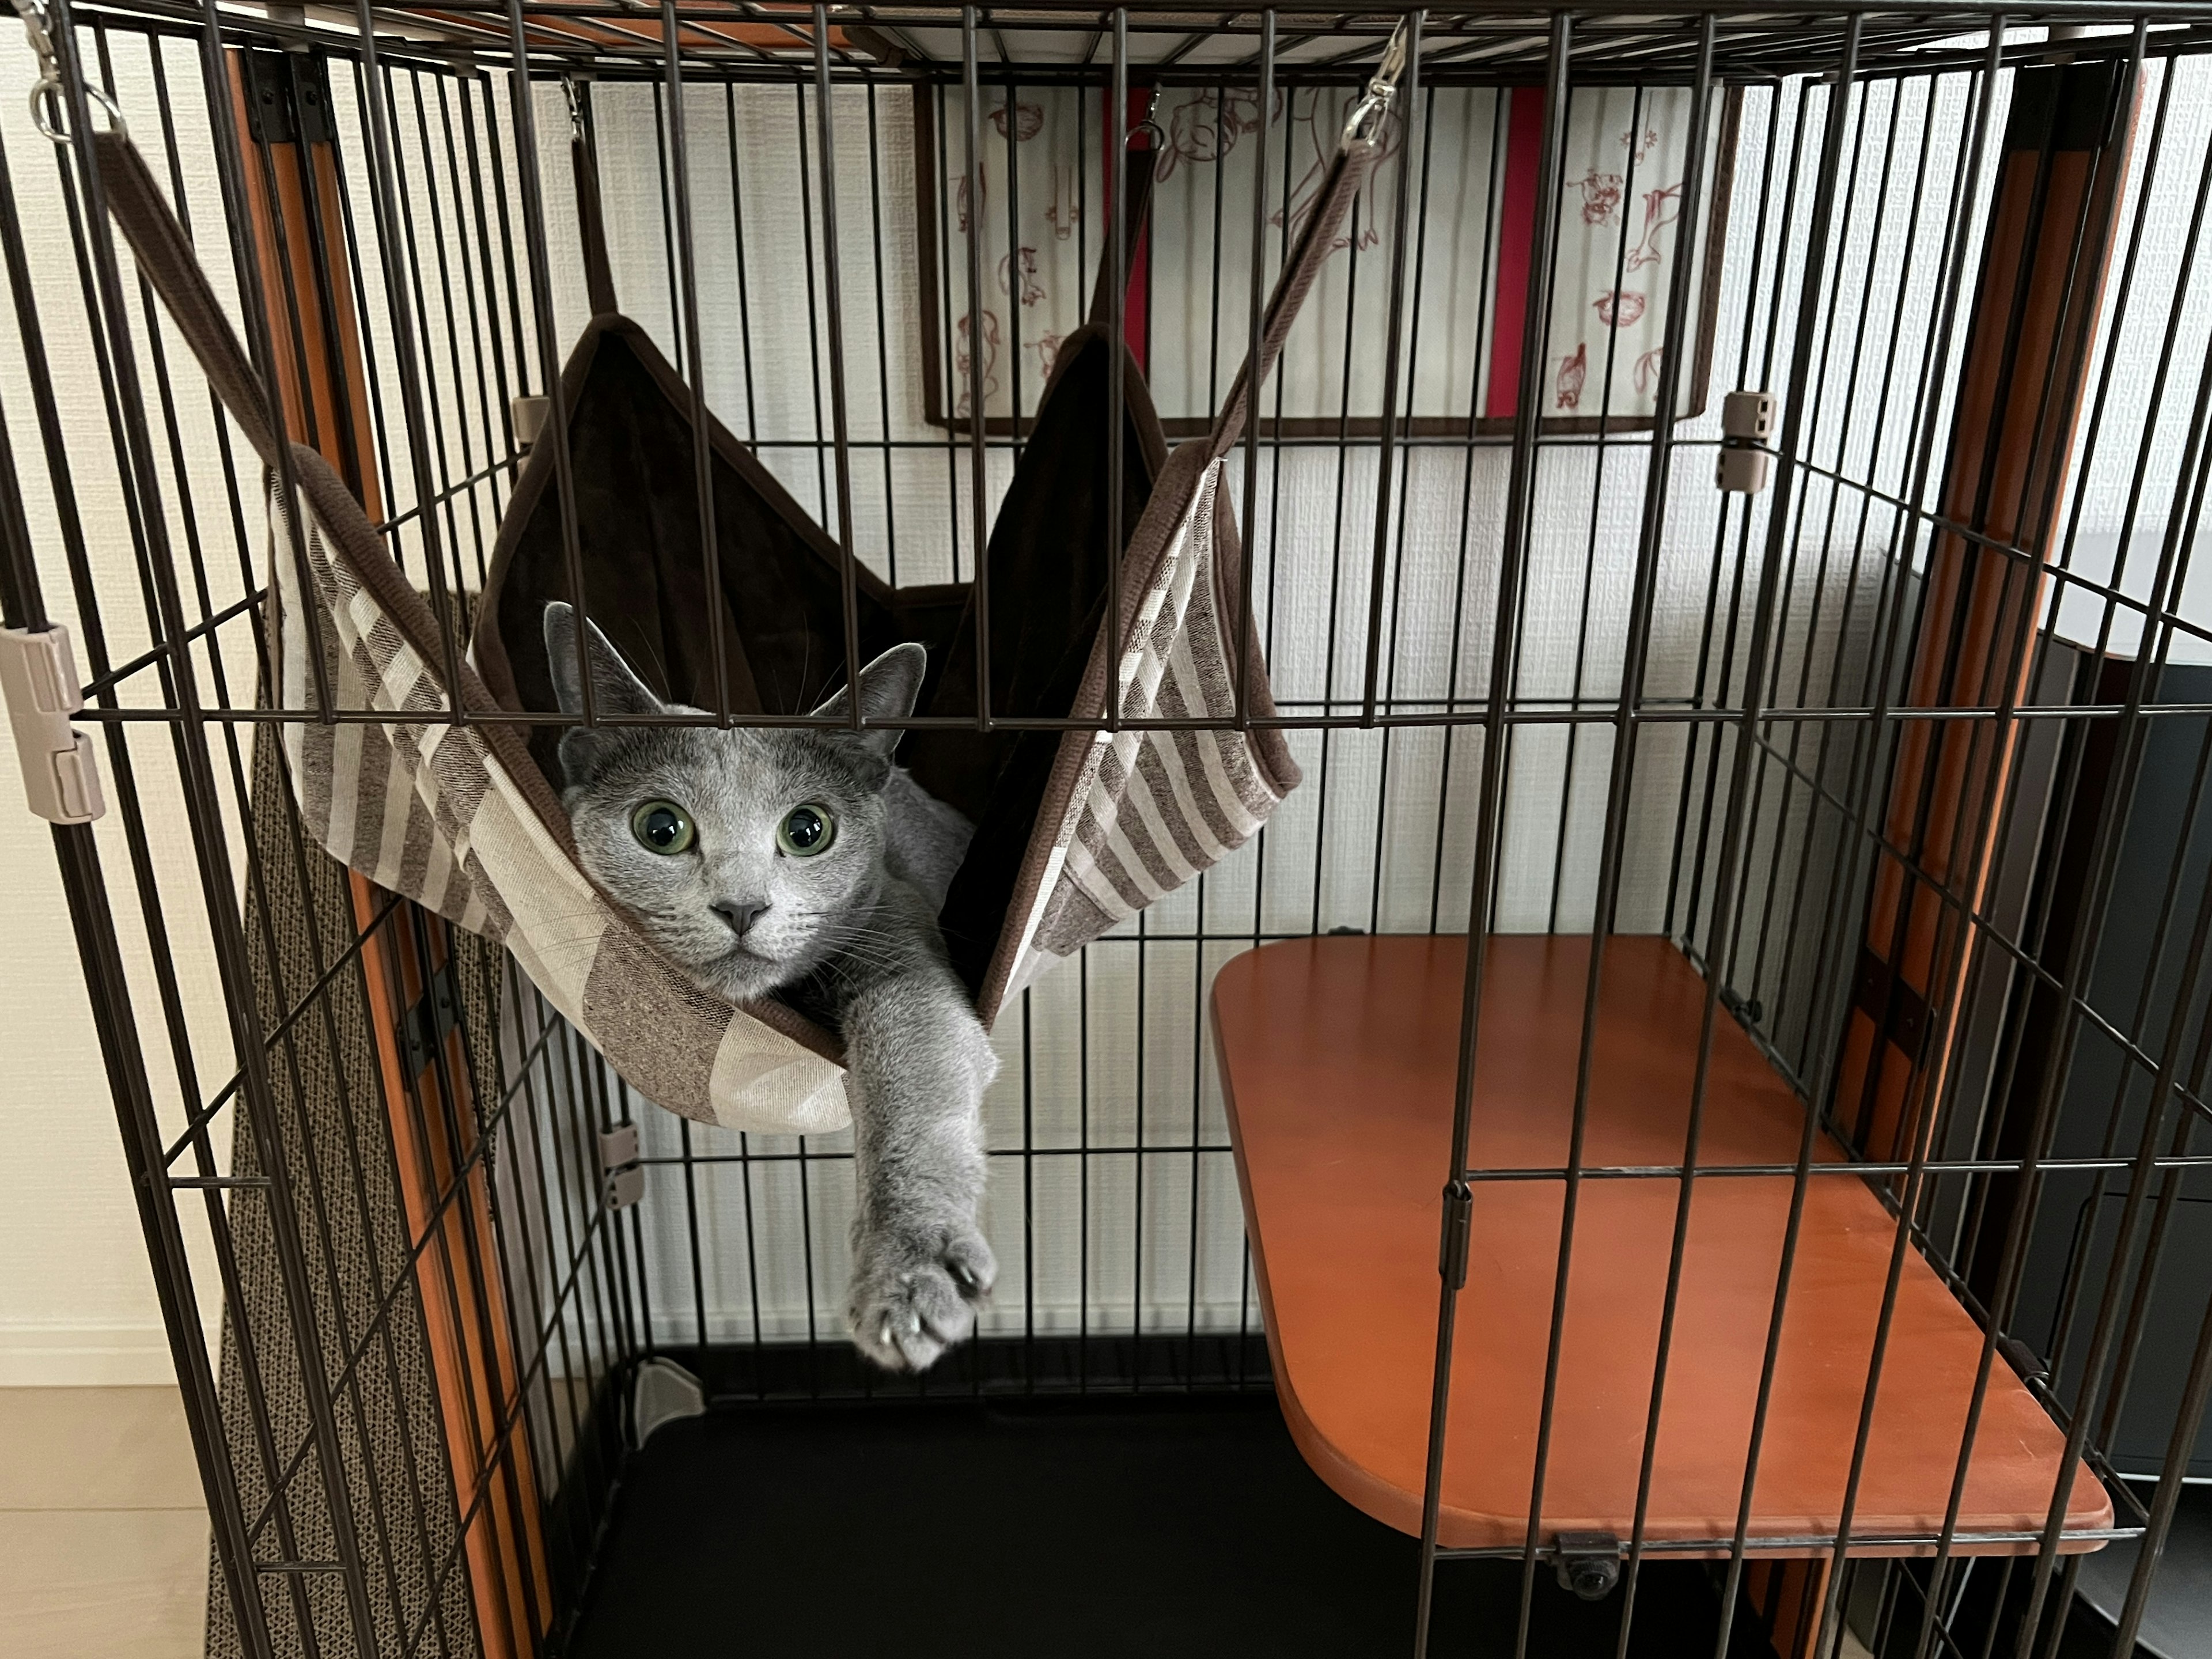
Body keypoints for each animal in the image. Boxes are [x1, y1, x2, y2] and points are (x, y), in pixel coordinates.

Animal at [548, 601, 999, 1380]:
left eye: (808, 830)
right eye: (660, 828)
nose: (742, 906)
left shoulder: (898, 942)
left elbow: (914, 1081)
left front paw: (910, 1274)